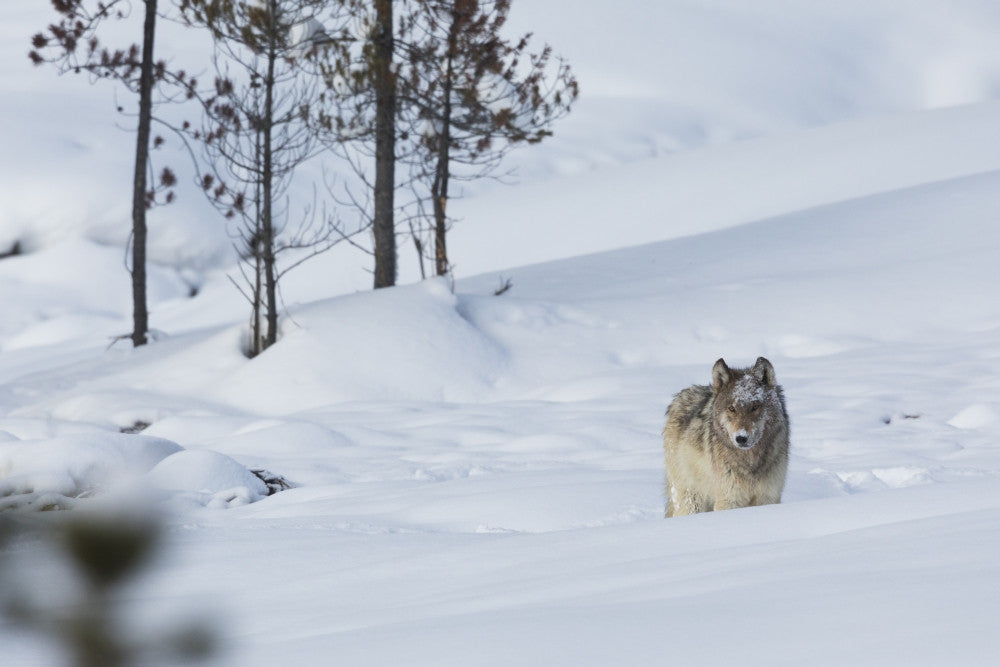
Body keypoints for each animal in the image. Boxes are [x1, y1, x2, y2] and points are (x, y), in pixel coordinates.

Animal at [663, 357, 789, 517]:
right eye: (732, 408)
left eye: (755, 407)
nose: (741, 438)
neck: (749, 462)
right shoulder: (729, 499)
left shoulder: (768, 497)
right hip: (692, 500)